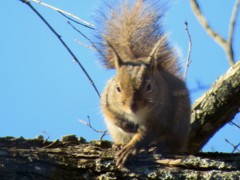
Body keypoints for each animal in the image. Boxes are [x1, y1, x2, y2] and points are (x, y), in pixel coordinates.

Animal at [94, 0, 190, 167]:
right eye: (117, 88)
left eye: (149, 87)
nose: (132, 106)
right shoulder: (107, 99)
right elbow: (109, 113)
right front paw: (124, 125)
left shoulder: (160, 118)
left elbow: (146, 134)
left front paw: (130, 148)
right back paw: (118, 144)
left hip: (179, 126)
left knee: (172, 144)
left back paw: (157, 147)